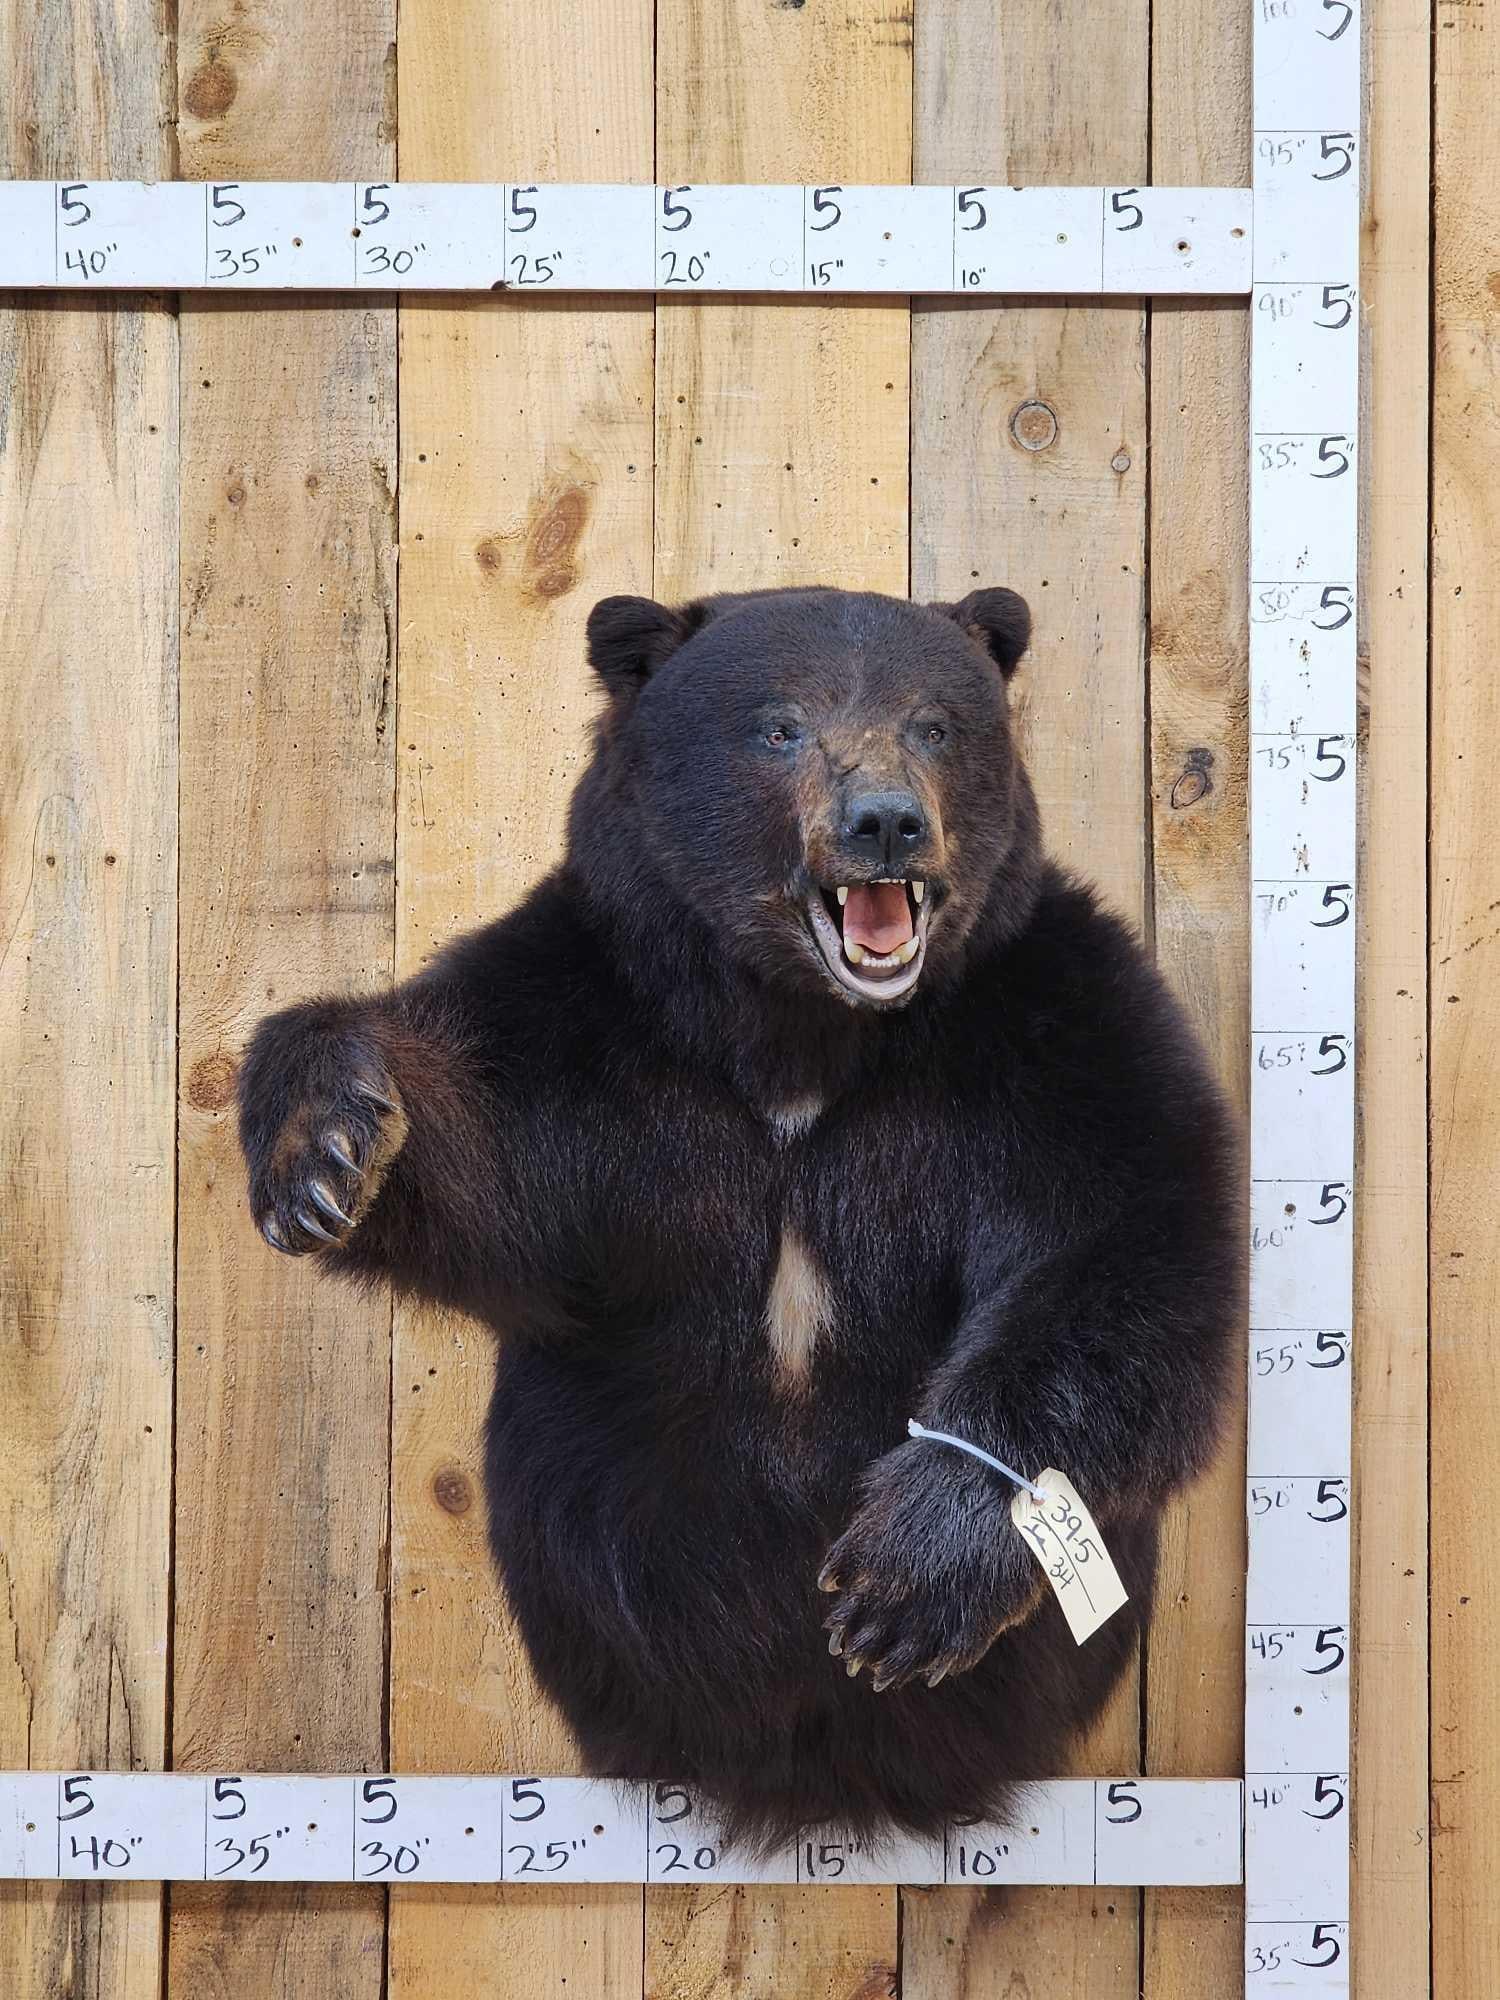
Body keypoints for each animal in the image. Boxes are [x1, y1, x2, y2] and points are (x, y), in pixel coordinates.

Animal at [237, 583, 1241, 1854]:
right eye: (779, 726)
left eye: (936, 723)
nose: (884, 824)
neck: (803, 1032)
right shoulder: (601, 1028)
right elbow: (484, 1160)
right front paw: (325, 1146)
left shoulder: (1042, 1025)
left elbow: (1118, 1243)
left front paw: (905, 1583)